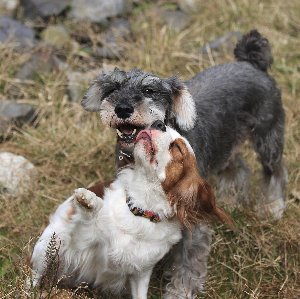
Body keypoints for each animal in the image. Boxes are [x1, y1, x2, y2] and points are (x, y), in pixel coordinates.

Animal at [31, 123, 232, 298]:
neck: (139, 209)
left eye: (177, 147)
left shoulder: (140, 272)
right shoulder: (81, 244)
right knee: (35, 276)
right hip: (47, 247)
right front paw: (90, 202)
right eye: (162, 124)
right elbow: (93, 218)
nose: (158, 123)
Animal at [81, 29, 288, 298]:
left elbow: (189, 262)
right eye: (113, 88)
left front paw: (179, 291)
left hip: (268, 137)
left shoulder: (193, 222)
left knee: (275, 171)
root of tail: (251, 63)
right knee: (239, 167)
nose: (122, 108)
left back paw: (273, 207)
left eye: (149, 90)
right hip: (226, 144)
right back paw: (230, 198)